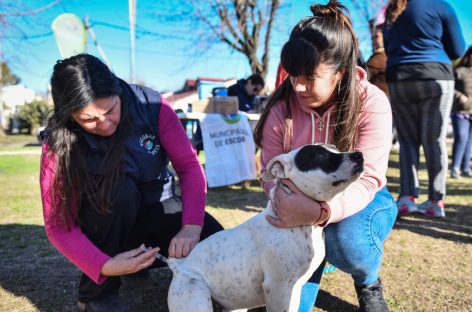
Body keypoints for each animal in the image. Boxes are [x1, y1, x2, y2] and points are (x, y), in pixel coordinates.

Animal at [167, 144, 366, 312]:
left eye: (335, 148)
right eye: (321, 155)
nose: (359, 155)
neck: (300, 225)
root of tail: (178, 267)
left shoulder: (294, 289)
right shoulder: (278, 289)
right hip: (195, 297)